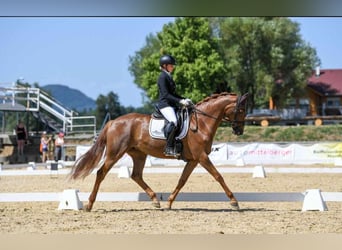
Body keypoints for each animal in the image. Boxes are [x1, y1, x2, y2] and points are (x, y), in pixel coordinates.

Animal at [69, 92, 248, 211]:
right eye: (241, 110)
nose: (239, 131)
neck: (202, 123)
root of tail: (113, 122)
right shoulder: (201, 157)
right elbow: (218, 176)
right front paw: (234, 202)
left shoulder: (193, 159)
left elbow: (182, 180)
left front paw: (169, 202)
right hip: (115, 153)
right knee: (101, 173)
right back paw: (89, 204)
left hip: (139, 154)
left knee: (136, 175)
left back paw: (156, 200)